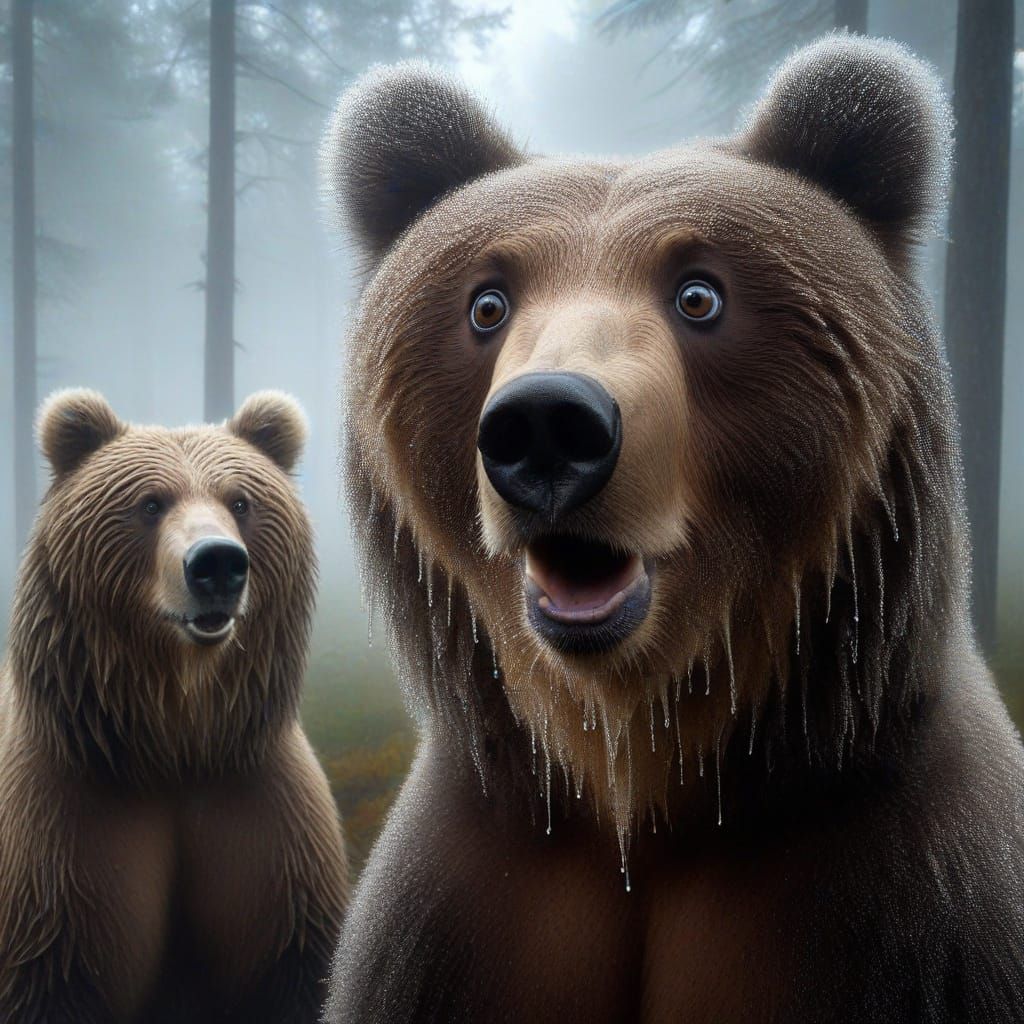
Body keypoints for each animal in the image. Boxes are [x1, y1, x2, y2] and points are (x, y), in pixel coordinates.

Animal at [0, 390, 348, 1023]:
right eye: (150, 502)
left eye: (240, 500)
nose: (217, 563)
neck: (174, 744)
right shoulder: (62, 846)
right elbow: (49, 981)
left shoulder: (265, 826)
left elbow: (294, 967)